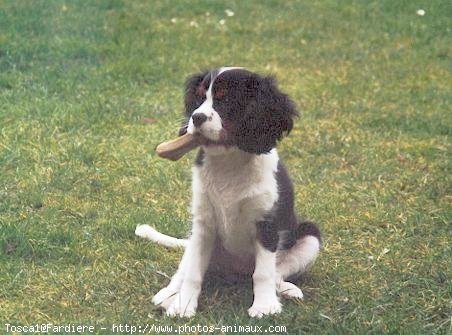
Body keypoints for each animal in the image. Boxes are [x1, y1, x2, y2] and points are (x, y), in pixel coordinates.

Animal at [135, 67, 322, 318]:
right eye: (199, 97)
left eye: (225, 99)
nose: (196, 117)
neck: (228, 161)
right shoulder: (203, 224)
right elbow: (192, 273)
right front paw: (183, 305)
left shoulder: (267, 223)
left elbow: (263, 272)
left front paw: (264, 306)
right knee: (183, 269)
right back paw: (168, 295)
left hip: (310, 236)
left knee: (276, 273)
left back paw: (286, 289)